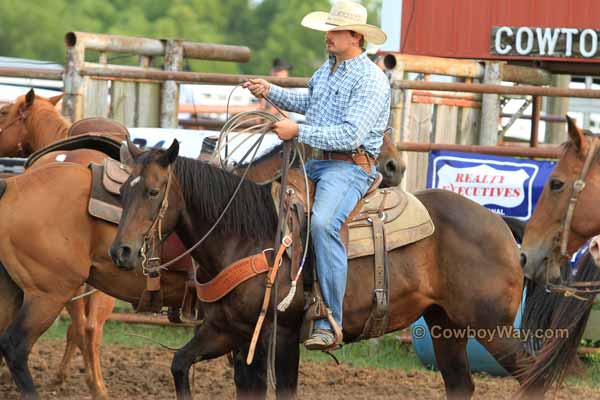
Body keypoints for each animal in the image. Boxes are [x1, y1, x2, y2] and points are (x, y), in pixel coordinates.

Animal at [108, 141, 540, 400]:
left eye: (152, 192)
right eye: (123, 192)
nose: (121, 251)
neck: (245, 235)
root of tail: (499, 222)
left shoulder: (278, 335)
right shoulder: (227, 330)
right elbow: (180, 364)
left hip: (493, 327)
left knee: (532, 376)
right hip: (446, 325)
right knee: (460, 384)